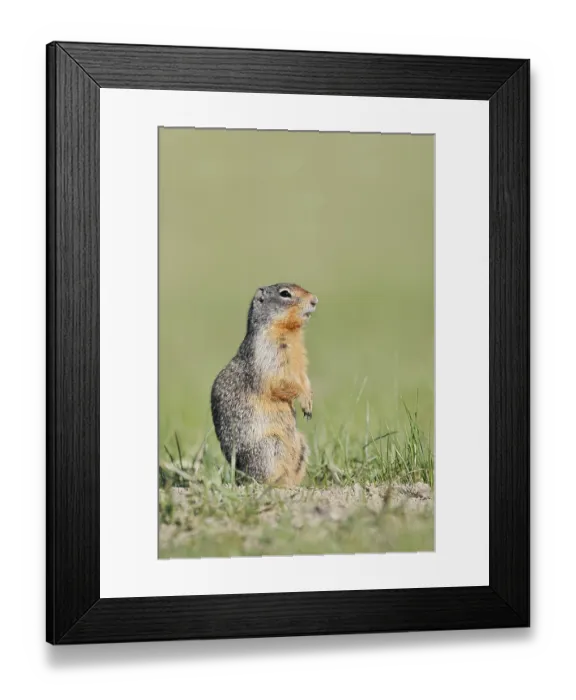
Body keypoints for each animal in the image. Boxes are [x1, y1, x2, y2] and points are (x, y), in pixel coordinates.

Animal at [210, 283, 318, 487]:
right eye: (285, 293)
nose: (315, 300)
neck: (289, 332)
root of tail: (239, 476)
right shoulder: (268, 353)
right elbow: (280, 381)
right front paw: (304, 399)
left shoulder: (300, 360)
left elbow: (304, 378)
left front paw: (309, 400)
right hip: (269, 447)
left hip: (301, 445)